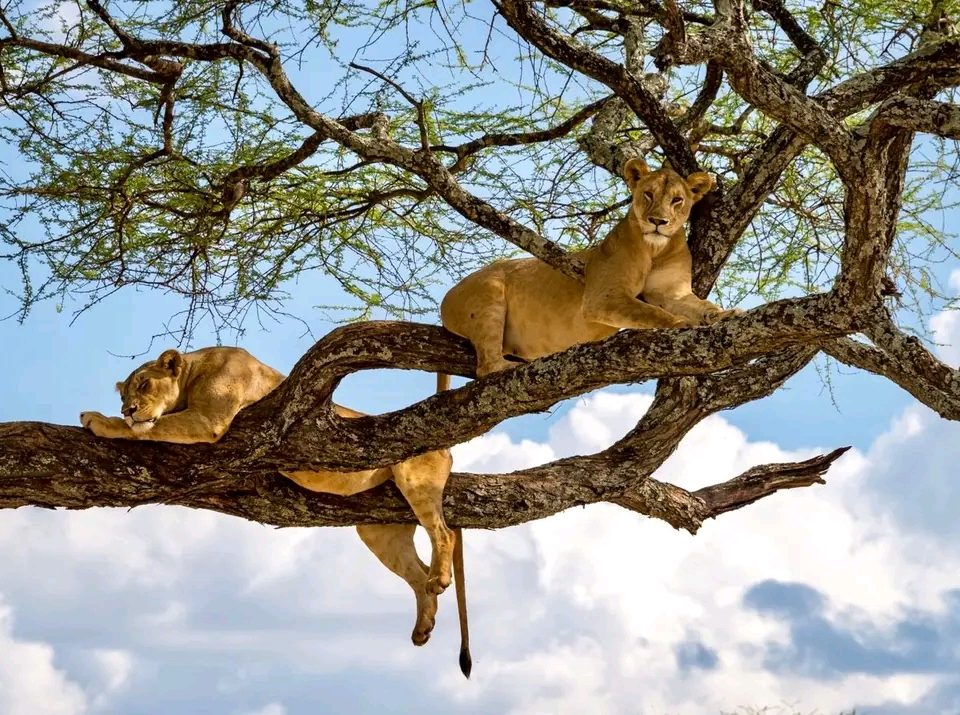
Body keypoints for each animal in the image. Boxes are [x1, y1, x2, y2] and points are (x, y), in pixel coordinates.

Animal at [81, 350, 472, 680]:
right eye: (123, 393)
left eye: (144, 384)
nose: (128, 408)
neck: (194, 372)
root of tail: (447, 448)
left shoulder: (208, 420)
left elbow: (151, 429)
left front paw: (100, 421)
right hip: (379, 531)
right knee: (417, 572)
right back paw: (423, 625)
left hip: (414, 481)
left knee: (445, 533)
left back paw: (439, 579)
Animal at [438, 159, 740, 378]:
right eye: (648, 194)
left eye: (677, 200)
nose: (658, 221)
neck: (656, 249)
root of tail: (446, 297)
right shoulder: (602, 297)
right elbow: (651, 311)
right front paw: (680, 324)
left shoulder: (672, 292)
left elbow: (702, 306)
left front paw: (726, 314)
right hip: (488, 295)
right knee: (485, 367)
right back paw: (508, 367)